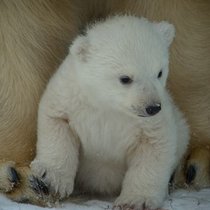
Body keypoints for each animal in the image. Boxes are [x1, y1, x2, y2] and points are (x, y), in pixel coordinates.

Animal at [31, 15, 189, 209]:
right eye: (125, 78)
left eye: (159, 72)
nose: (152, 107)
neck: (110, 106)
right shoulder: (71, 98)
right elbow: (57, 122)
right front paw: (48, 181)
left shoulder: (151, 123)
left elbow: (155, 147)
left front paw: (136, 201)